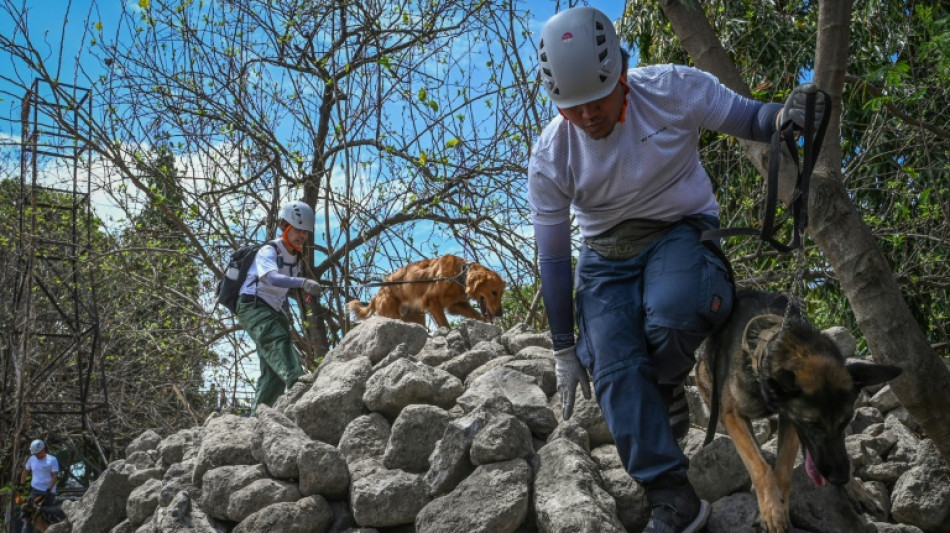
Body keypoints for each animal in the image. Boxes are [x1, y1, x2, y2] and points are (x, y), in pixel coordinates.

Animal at [346, 255, 502, 328]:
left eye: (501, 294)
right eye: (494, 292)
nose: (500, 314)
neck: (459, 273)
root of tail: (379, 292)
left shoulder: (456, 305)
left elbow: (477, 315)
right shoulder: (432, 302)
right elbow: (444, 324)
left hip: (417, 317)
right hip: (392, 314)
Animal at [696, 290, 904, 532]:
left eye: (845, 422)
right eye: (813, 424)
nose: (839, 478)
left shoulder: (791, 421)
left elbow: (784, 468)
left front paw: (779, 506)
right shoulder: (733, 415)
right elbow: (760, 466)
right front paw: (772, 510)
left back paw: (856, 490)